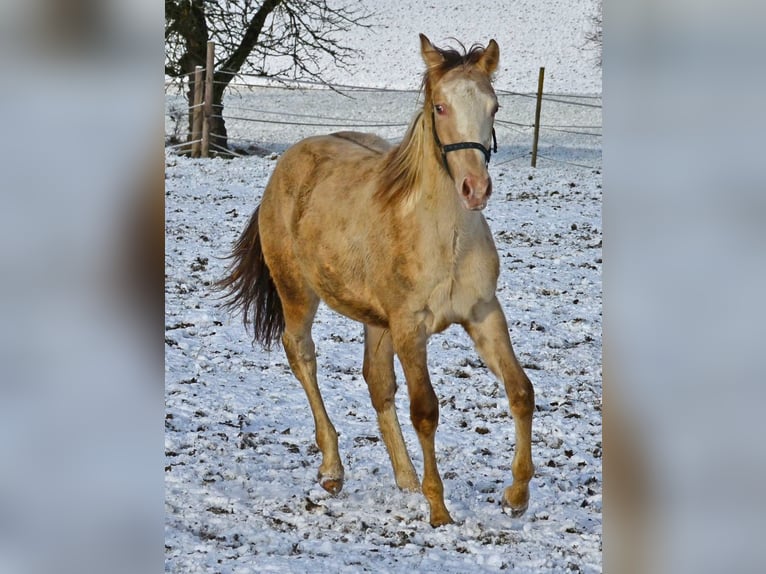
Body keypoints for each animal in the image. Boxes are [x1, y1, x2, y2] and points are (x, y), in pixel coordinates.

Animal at [219, 35, 536, 532]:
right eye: (440, 106)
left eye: (495, 106)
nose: (475, 188)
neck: (443, 238)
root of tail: (287, 163)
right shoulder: (410, 327)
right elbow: (425, 410)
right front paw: (439, 509)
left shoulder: (484, 313)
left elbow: (521, 391)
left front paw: (516, 496)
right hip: (298, 294)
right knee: (301, 355)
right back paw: (333, 470)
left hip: (375, 320)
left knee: (376, 381)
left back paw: (405, 480)